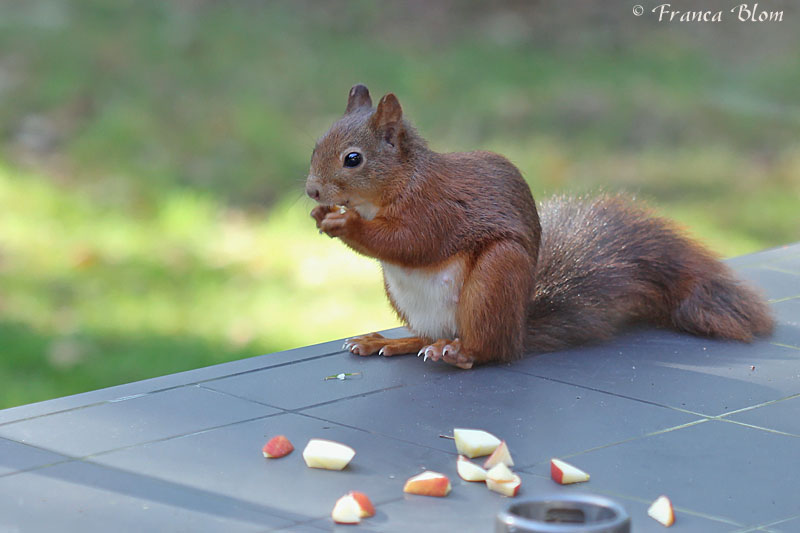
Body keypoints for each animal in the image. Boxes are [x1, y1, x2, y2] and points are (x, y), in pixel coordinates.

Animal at [304, 84, 776, 370]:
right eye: (315, 147)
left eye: (353, 159)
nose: (311, 191)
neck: (396, 186)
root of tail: (517, 331)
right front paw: (323, 216)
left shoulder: (436, 209)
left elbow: (409, 240)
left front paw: (344, 222)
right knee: (424, 336)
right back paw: (391, 341)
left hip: (495, 279)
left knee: (487, 349)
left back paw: (459, 351)